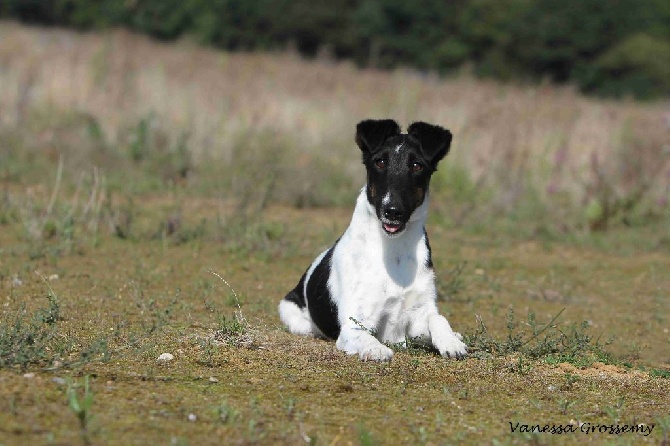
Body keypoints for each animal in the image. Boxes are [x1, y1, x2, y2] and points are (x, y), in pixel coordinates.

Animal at [278, 119, 468, 362]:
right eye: (380, 162)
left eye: (417, 165)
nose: (392, 211)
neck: (393, 250)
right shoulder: (355, 325)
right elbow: (366, 337)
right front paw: (376, 350)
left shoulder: (417, 316)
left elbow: (437, 318)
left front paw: (450, 341)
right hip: (292, 313)